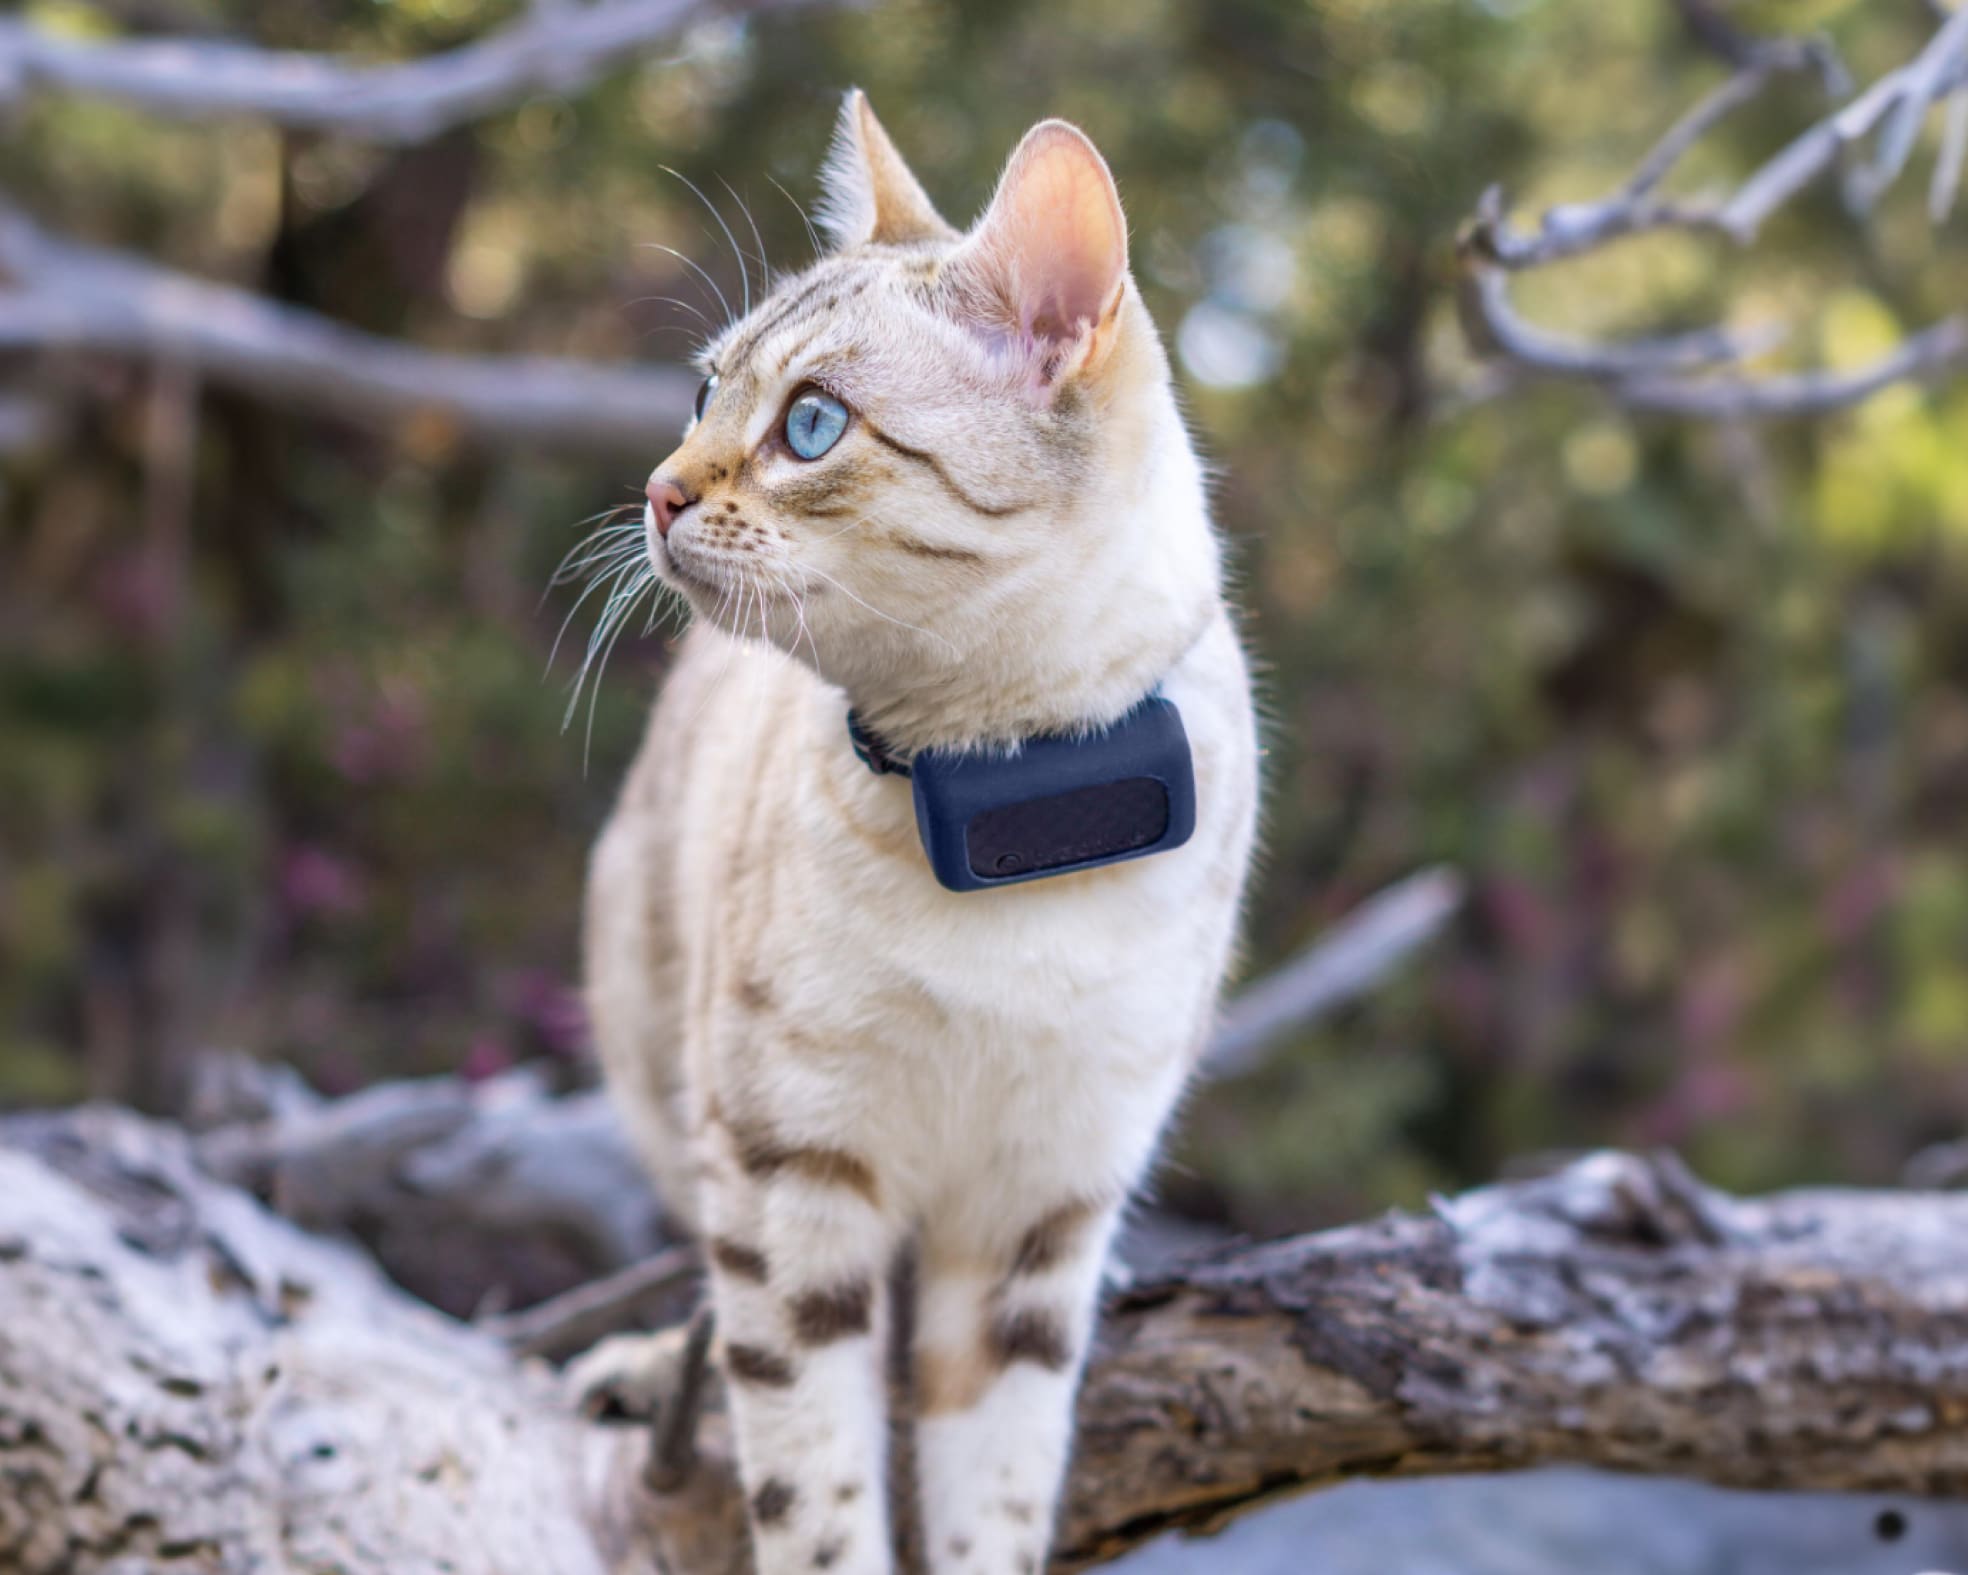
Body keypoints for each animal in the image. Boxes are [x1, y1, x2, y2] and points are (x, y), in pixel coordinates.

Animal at [574, 92, 1259, 1567]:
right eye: (702, 393)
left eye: (812, 424)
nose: (657, 490)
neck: (1010, 793)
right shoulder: (787, 1169)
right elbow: (814, 1493)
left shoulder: (1038, 1213)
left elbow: (994, 1496)